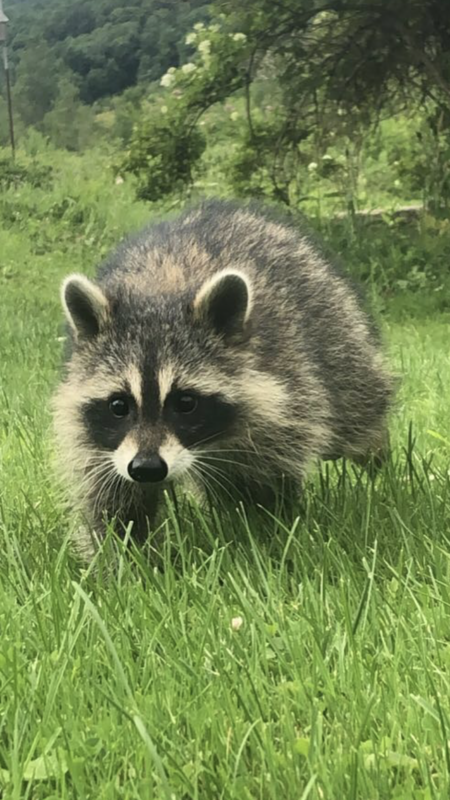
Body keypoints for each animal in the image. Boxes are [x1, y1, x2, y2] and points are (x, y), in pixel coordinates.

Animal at [53, 199, 393, 558]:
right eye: (119, 405)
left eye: (186, 403)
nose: (147, 468)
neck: (159, 292)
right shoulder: (98, 440)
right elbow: (112, 502)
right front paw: (127, 558)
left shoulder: (283, 396)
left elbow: (265, 488)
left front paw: (269, 537)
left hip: (336, 330)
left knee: (358, 407)